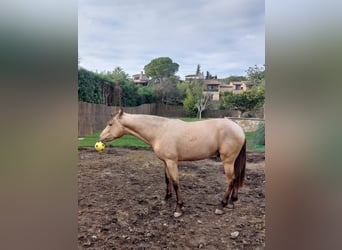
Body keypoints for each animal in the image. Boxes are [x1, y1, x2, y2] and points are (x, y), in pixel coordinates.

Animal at [99, 108, 246, 218]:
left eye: (110, 124)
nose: (100, 138)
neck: (160, 131)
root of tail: (239, 128)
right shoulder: (165, 161)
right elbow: (167, 179)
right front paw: (166, 198)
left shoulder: (172, 162)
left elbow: (175, 182)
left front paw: (178, 208)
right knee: (235, 178)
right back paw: (232, 202)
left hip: (228, 161)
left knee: (231, 180)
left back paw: (222, 205)